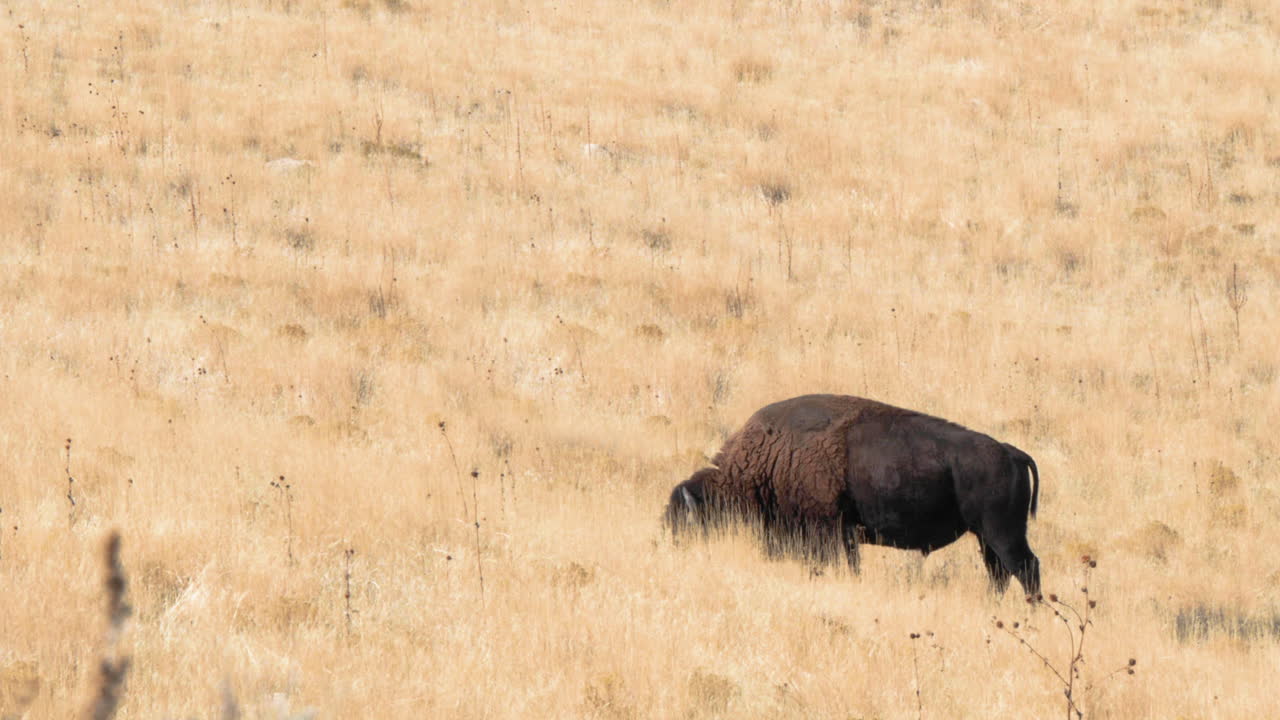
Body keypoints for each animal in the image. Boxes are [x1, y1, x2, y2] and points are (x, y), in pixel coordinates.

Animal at [664, 394, 1041, 596]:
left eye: (685, 521)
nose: (675, 551)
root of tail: (1010, 452)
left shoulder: (829, 532)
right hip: (985, 537)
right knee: (999, 573)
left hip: (1002, 533)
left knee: (1025, 567)